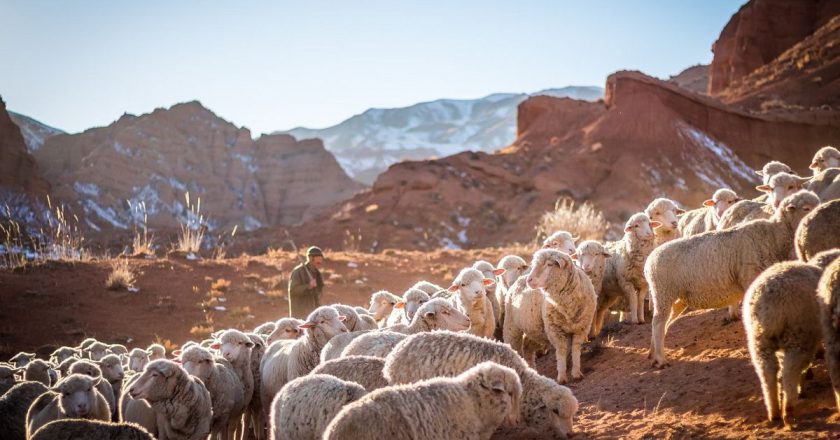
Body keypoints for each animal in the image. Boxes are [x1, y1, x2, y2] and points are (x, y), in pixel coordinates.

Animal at [528, 249, 592, 384]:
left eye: (549, 264)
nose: (529, 280)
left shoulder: (581, 328)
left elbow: (575, 349)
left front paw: (576, 373)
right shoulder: (555, 330)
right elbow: (561, 351)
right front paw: (562, 377)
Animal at [648, 192, 820, 368]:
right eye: (806, 208)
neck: (774, 235)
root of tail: (650, 259)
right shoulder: (749, 277)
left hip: (678, 299)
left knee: (664, 323)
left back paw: (653, 353)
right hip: (663, 292)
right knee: (657, 323)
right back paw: (660, 359)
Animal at [744, 260, 824, 424]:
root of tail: (771, 305)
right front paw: (802, 387)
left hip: (759, 340)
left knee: (767, 372)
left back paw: (774, 411)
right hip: (798, 335)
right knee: (790, 371)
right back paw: (788, 408)